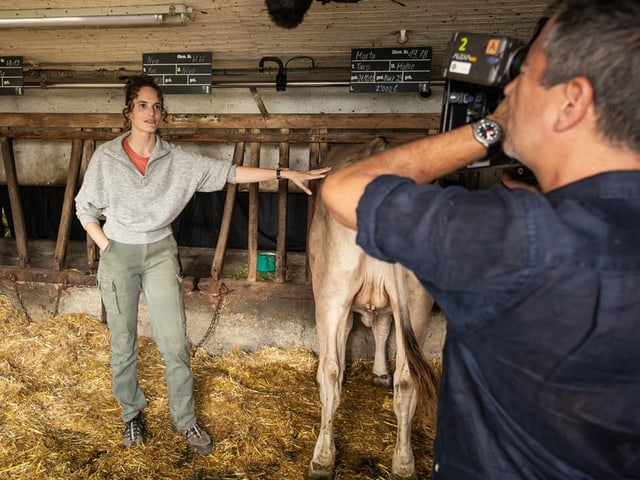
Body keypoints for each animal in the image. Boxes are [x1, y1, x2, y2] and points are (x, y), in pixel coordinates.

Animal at [306, 138, 438, 480]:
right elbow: (381, 328)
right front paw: (380, 372)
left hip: (332, 291)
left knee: (330, 370)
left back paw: (322, 458)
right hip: (417, 301)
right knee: (407, 378)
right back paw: (404, 462)